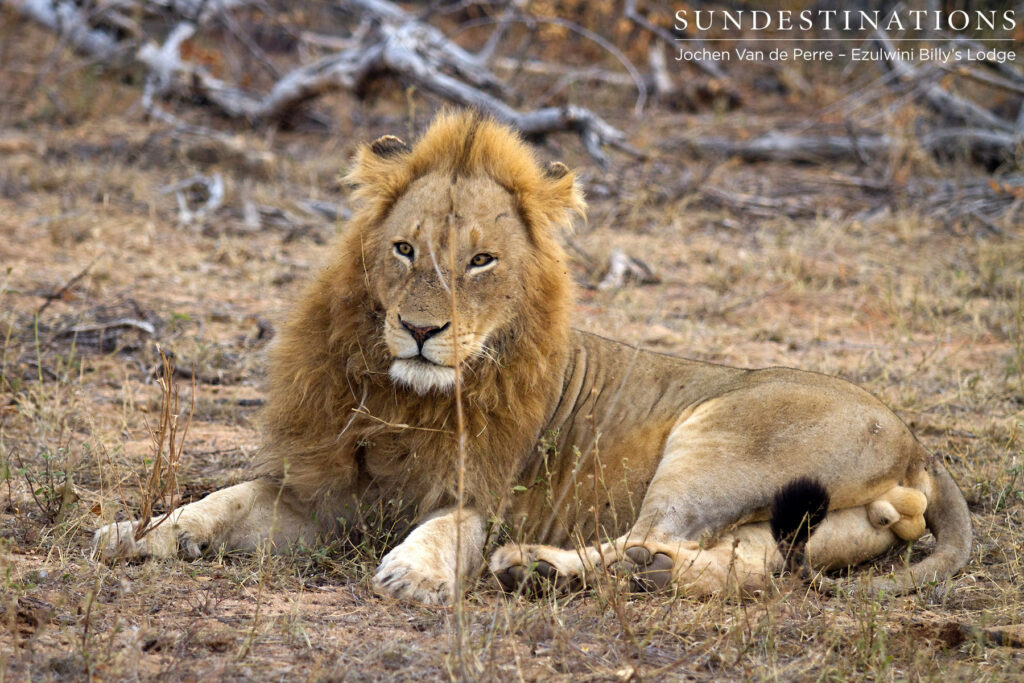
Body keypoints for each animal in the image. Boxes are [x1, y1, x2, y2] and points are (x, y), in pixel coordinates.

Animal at [94, 111, 972, 604]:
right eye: (405, 248)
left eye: (481, 261)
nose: (420, 329)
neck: (405, 395)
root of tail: (918, 444)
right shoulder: (319, 493)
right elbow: (221, 499)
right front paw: (139, 533)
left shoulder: (482, 485)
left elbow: (453, 525)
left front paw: (417, 571)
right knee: (736, 563)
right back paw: (602, 577)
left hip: (719, 439)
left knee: (659, 532)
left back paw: (536, 567)